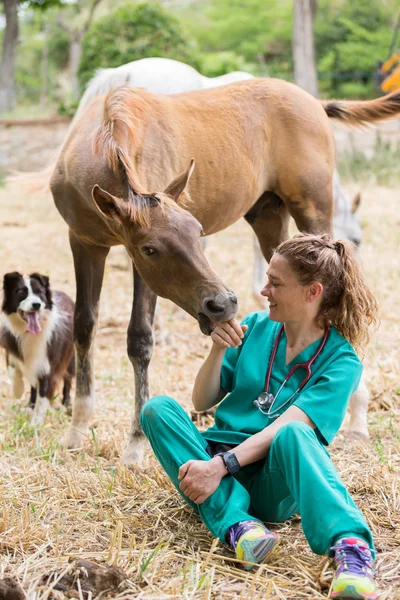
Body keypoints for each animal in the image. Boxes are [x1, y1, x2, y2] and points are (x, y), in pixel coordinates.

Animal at [0, 272, 75, 422]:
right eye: (21, 293)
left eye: (39, 293)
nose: (36, 304)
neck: (29, 332)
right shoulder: (11, 348)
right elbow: (13, 371)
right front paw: (18, 390)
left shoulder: (48, 366)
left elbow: (43, 397)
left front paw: (36, 423)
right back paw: (30, 404)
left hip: (70, 357)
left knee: (68, 380)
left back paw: (66, 404)